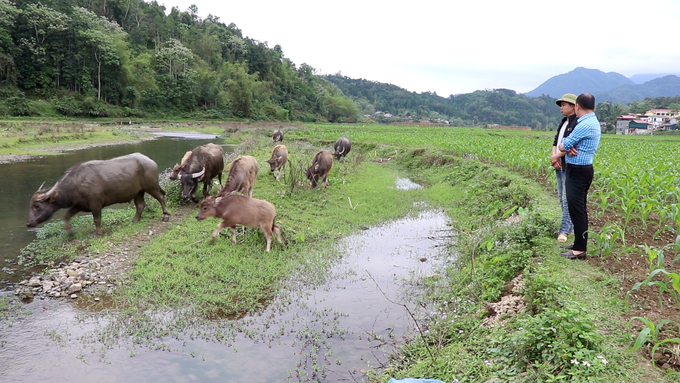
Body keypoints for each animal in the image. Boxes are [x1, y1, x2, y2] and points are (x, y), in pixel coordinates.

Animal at [26, 153, 170, 237]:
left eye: (37, 206)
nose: (28, 223)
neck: (75, 184)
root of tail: (150, 161)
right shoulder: (78, 205)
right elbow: (67, 216)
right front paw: (69, 232)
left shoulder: (95, 204)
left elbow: (96, 219)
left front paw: (98, 233)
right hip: (138, 192)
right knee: (140, 205)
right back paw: (134, 220)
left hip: (151, 186)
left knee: (161, 197)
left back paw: (165, 215)